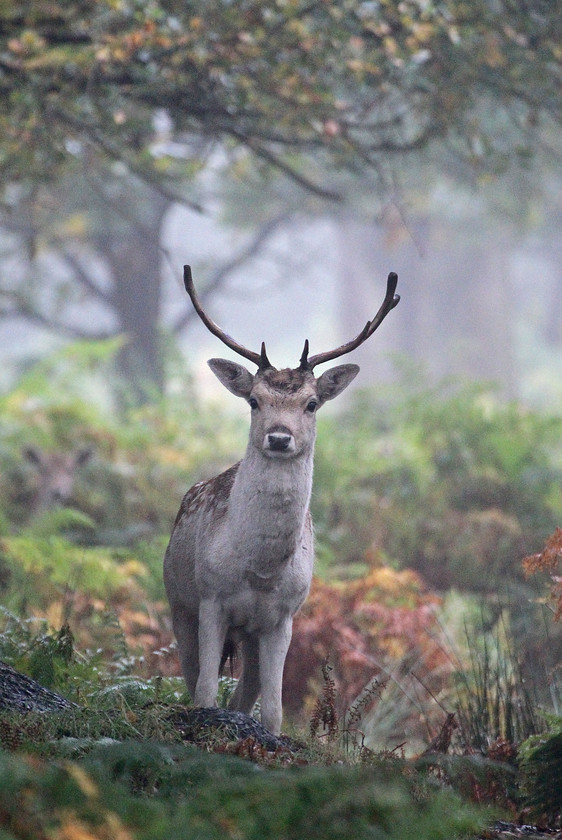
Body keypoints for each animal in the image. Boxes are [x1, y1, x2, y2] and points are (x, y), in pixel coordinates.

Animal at [162, 264, 398, 736]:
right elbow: (204, 692)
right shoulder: (211, 600)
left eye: (312, 403)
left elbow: (273, 712)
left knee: (245, 693)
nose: (278, 437)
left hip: (251, 635)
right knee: (194, 677)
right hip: (178, 603)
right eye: (254, 400)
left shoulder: (282, 618)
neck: (260, 572)